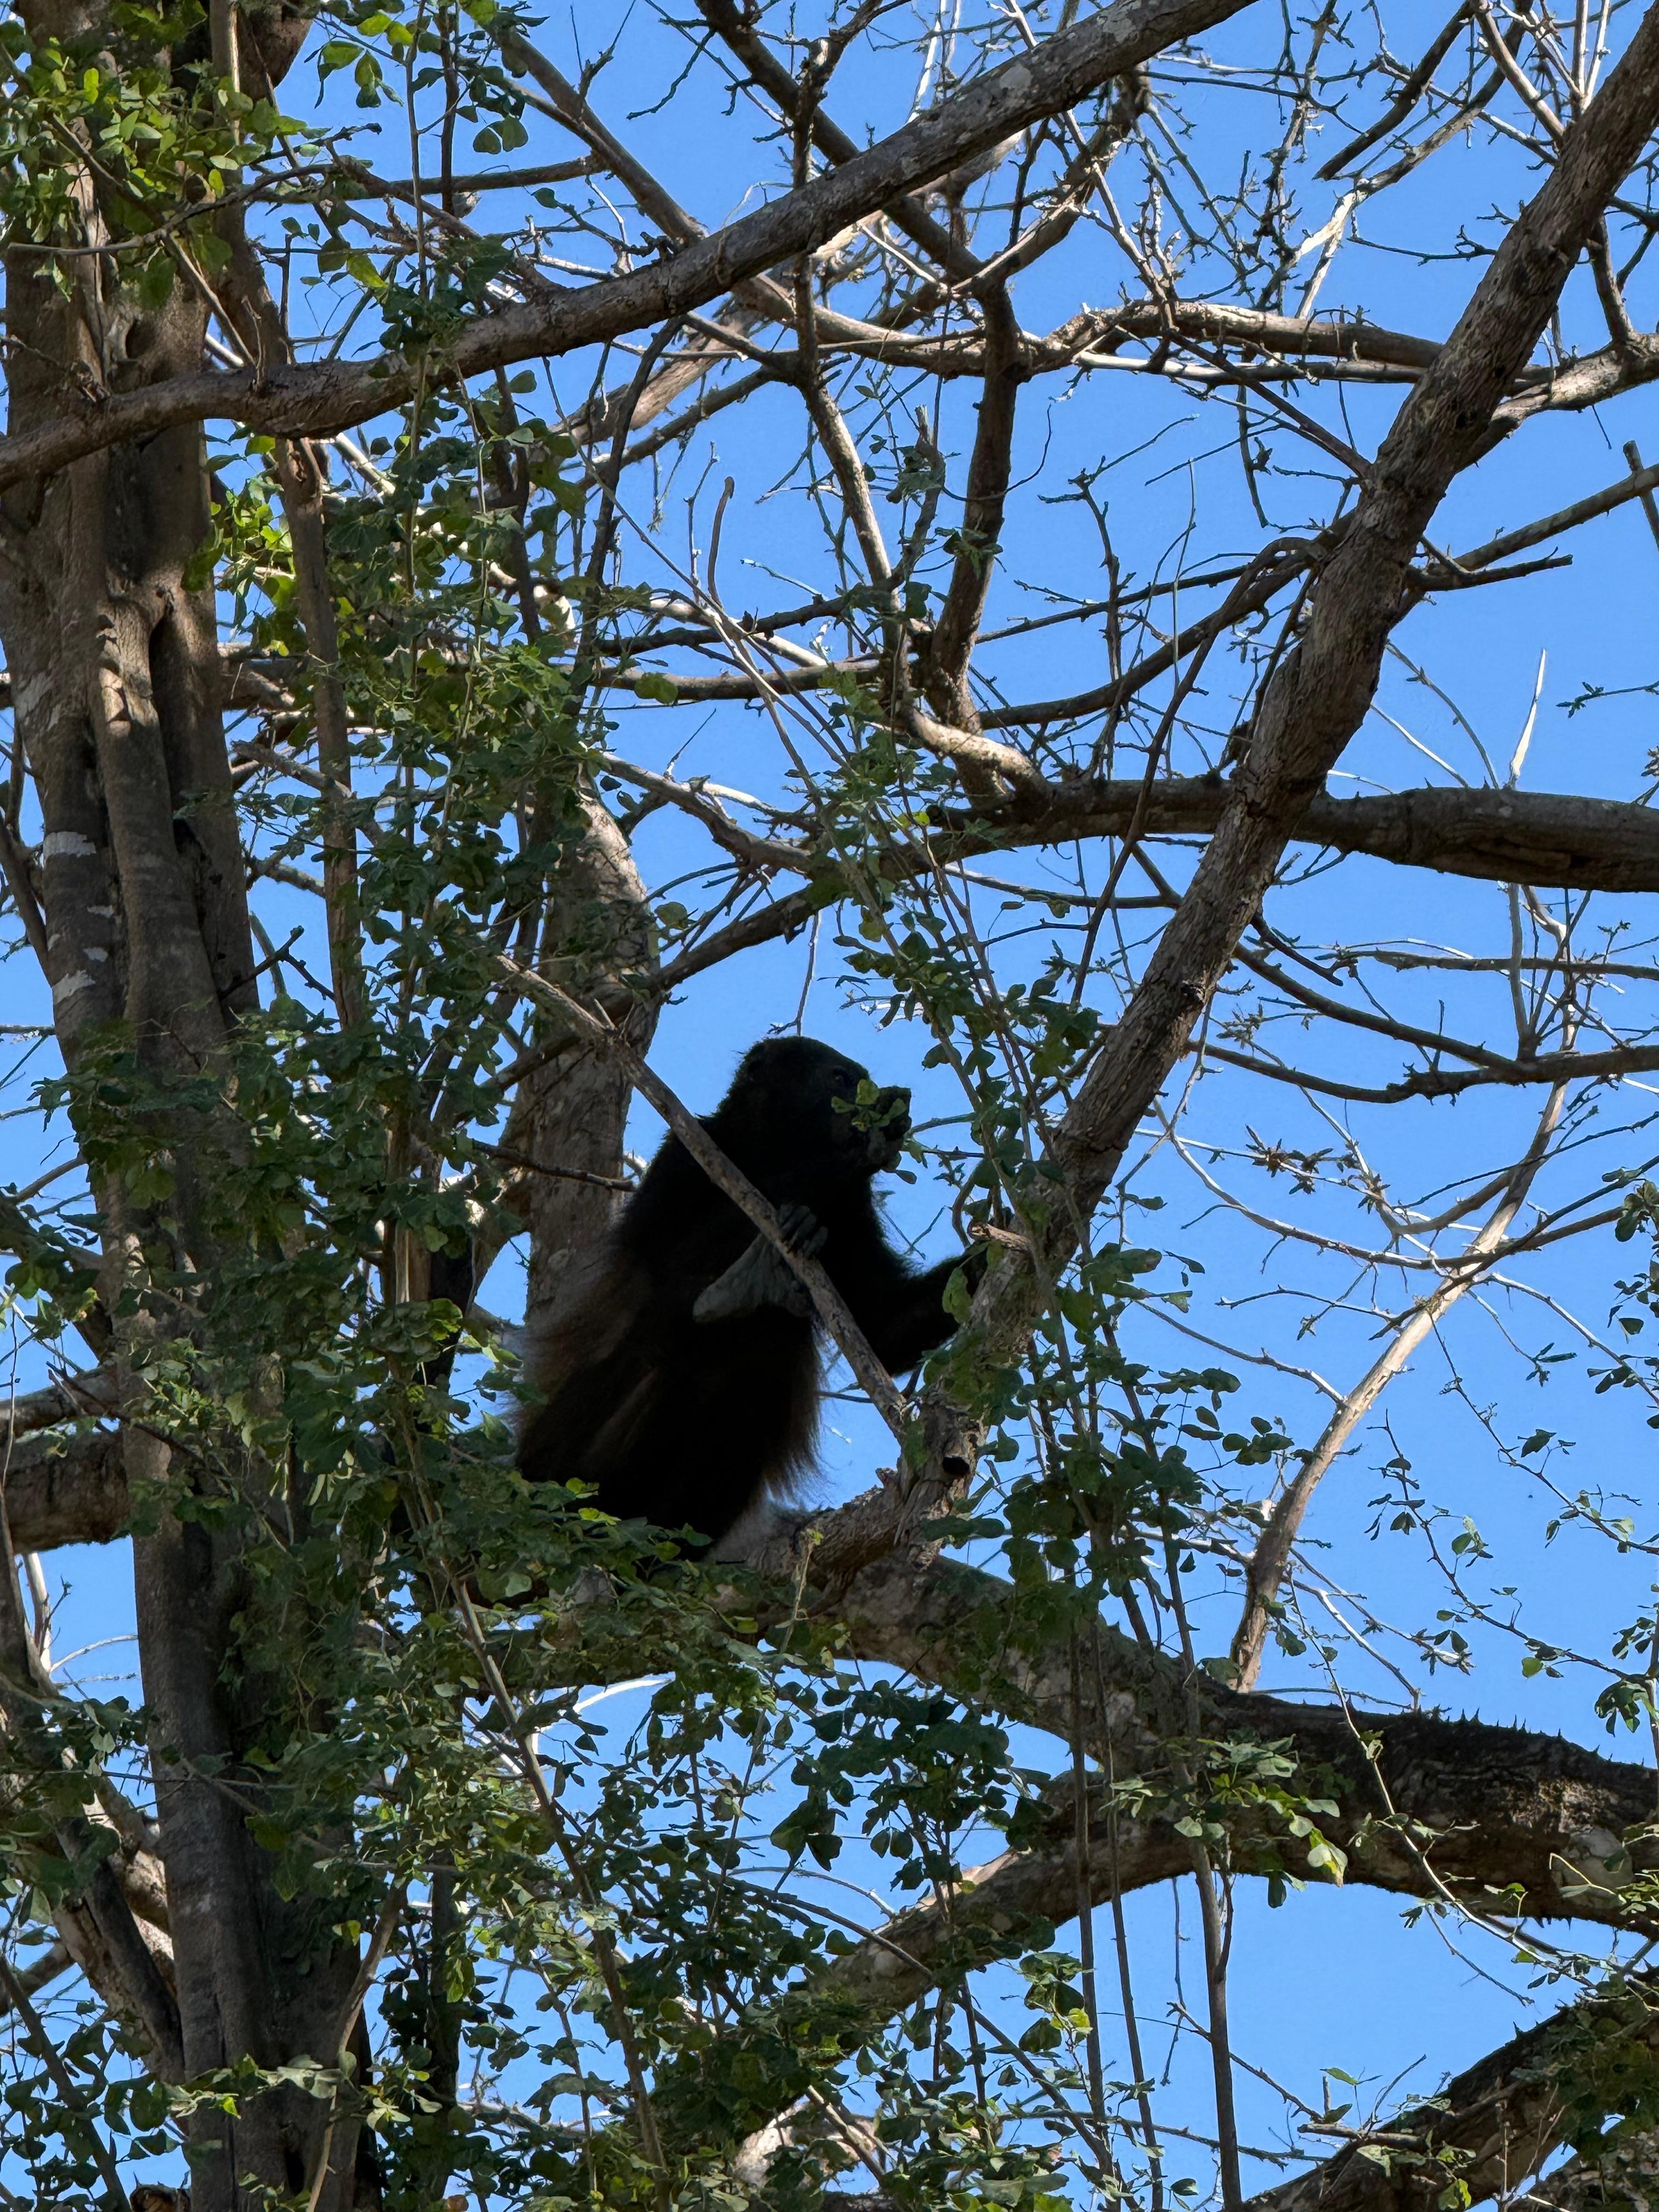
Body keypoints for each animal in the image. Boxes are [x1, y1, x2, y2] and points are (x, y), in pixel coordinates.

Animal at [515, 1035, 981, 1552]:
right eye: (840, 1079)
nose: (869, 1104)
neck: (773, 1153)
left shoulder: (854, 1208)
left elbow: (882, 1328)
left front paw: (998, 1252)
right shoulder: (688, 1147)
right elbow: (661, 1257)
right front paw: (859, 1151)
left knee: (754, 1400)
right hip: (556, 1459)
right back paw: (741, 1287)